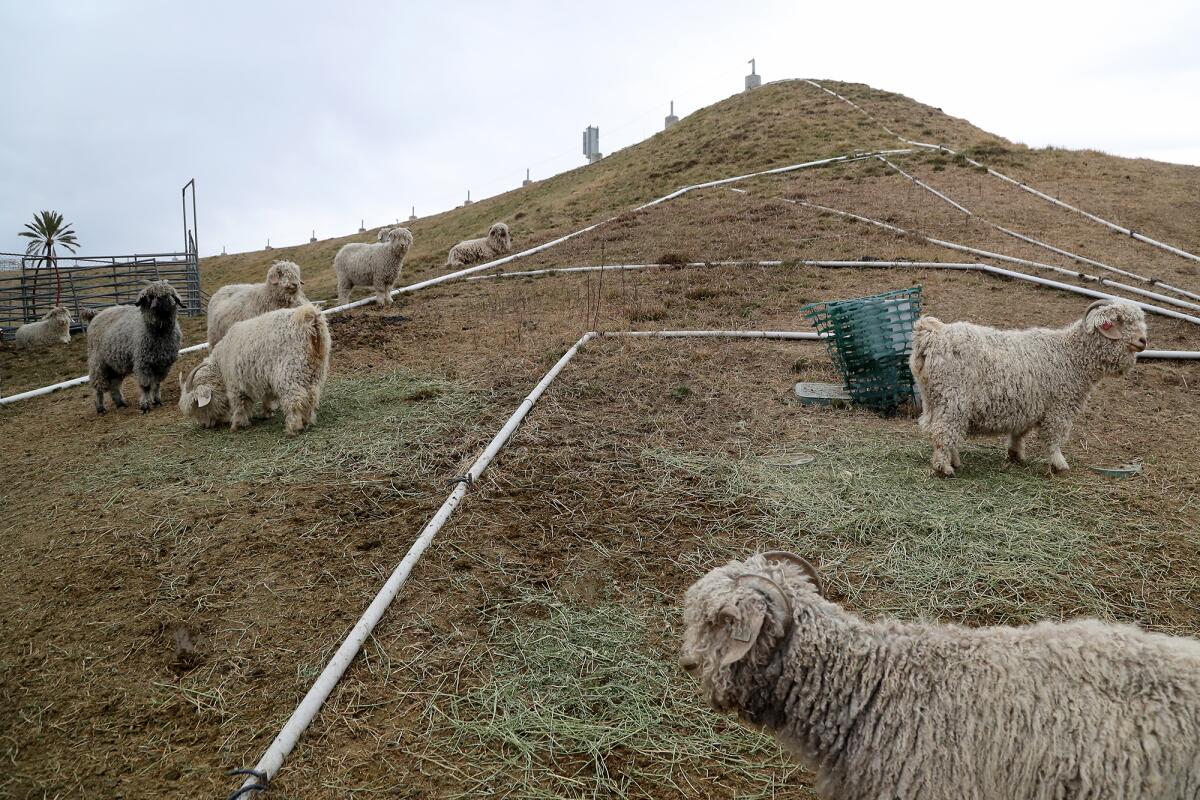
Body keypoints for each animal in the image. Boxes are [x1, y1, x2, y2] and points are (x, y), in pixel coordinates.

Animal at [87, 281, 183, 417]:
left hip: (114, 364)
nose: (161, 303)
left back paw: (121, 403)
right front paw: (145, 406)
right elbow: (146, 386)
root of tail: (96, 315)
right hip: (97, 362)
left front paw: (157, 400)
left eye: (169, 295)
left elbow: (157, 384)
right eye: (150, 297)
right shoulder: (143, 363)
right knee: (98, 386)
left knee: (114, 385)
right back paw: (100, 408)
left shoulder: (163, 364)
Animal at [177, 303, 331, 434]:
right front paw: (267, 412)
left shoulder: (235, 384)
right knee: (311, 396)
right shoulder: (265, 379)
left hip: (290, 371)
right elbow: (267, 397)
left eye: (197, 405)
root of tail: (310, 319)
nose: (205, 425)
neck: (220, 364)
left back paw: (293, 427)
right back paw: (306, 421)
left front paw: (236, 425)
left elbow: (239, 404)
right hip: (313, 371)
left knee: (294, 399)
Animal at [907, 298, 1152, 474]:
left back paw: (954, 461)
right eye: (1119, 320)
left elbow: (1019, 433)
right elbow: (1054, 437)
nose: (1143, 341)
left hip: (935, 399)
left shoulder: (1027, 405)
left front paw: (1016, 455)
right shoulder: (1059, 407)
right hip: (953, 399)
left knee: (947, 432)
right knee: (943, 432)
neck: (1071, 354)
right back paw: (944, 467)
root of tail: (932, 336)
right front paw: (1059, 464)